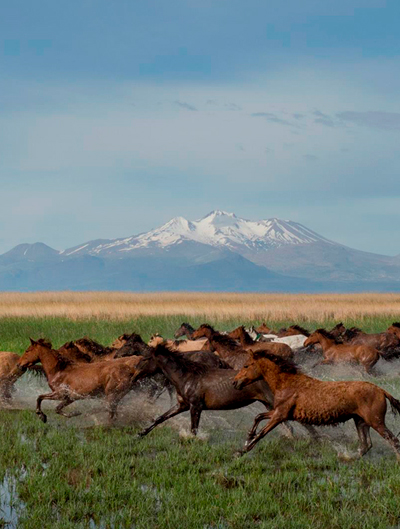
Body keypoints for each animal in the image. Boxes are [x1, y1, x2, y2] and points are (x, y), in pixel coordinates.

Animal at [16, 338, 144, 420]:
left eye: (27, 350)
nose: (19, 364)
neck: (59, 370)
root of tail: (131, 371)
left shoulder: (60, 394)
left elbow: (40, 397)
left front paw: (41, 415)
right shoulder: (69, 398)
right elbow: (57, 408)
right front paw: (75, 413)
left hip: (111, 394)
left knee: (111, 411)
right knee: (113, 411)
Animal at [233, 350, 400, 458]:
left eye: (246, 365)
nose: (235, 382)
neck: (286, 383)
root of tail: (381, 390)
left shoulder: (280, 415)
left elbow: (262, 433)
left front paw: (242, 451)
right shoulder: (278, 412)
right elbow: (258, 416)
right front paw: (247, 439)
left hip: (375, 422)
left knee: (393, 441)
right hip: (361, 421)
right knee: (366, 445)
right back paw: (347, 458)